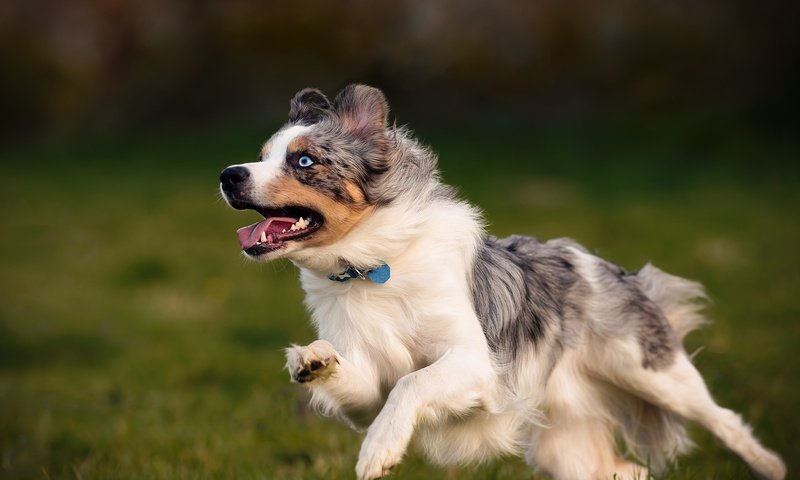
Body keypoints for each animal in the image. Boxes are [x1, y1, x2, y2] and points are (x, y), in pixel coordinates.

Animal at [220, 84, 788, 478]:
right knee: (627, 470)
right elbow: (367, 385)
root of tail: (602, 263)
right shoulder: (367, 393)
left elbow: (412, 382)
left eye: (304, 161)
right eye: (261, 155)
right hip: (569, 450)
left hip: (653, 373)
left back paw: (769, 464)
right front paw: (312, 360)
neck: (372, 267)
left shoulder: (477, 363)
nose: (228, 174)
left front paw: (379, 453)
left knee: (725, 420)